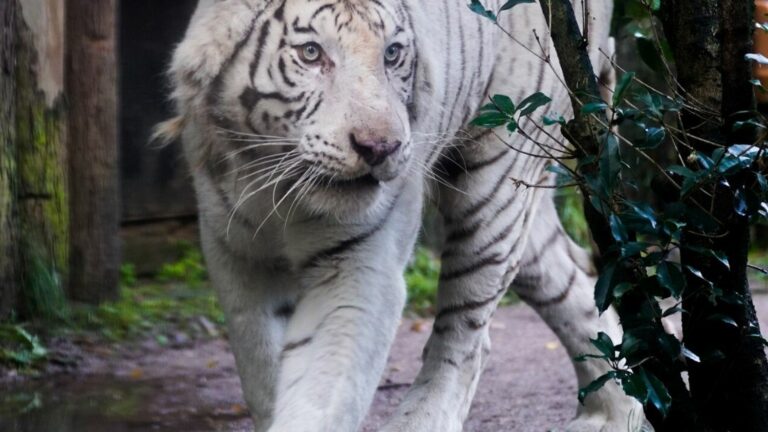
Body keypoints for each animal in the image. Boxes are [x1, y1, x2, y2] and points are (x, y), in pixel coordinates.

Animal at [164, 0, 648, 430]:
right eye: (311, 53)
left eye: (392, 53)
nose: (380, 147)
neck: (281, 189)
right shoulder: (238, 257)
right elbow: (263, 368)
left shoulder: (358, 266)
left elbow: (322, 388)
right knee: (573, 282)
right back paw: (611, 415)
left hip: (496, 178)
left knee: (467, 335)